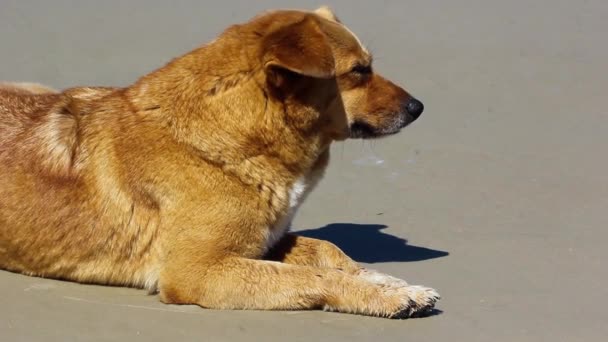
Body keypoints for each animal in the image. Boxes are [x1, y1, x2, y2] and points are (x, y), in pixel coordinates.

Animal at [0, 6, 436, 320]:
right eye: (359, 71)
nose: (418, 107)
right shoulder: (200, 271)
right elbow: (313, 274)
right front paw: (378, 294)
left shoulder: (264, 241)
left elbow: (330, 252)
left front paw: (386, 282)